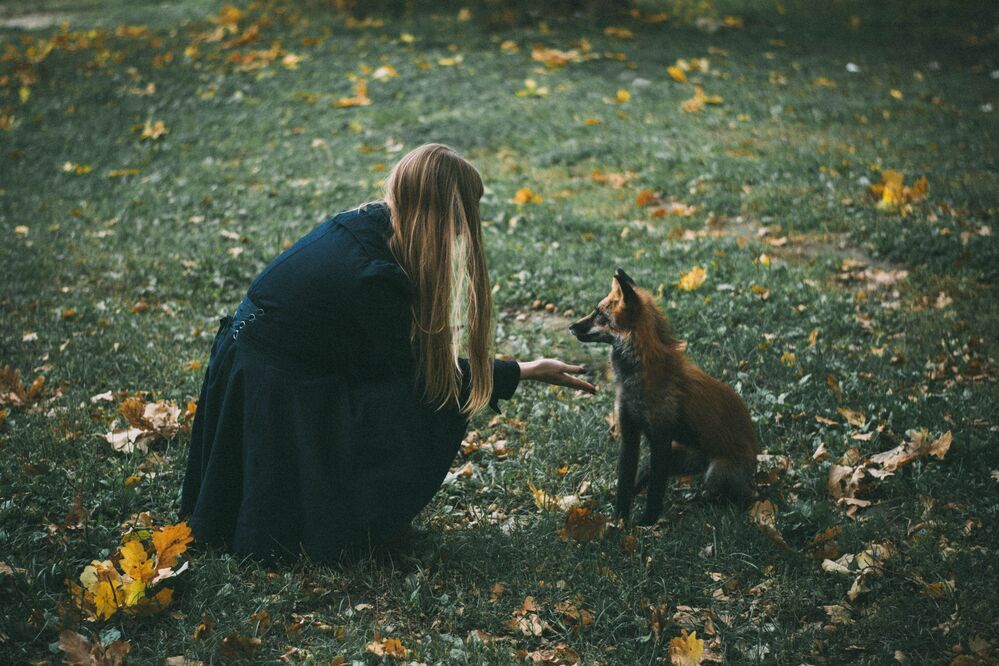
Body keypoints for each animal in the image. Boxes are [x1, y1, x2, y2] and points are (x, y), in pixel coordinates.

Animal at [569, 268, 758, 525]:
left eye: (599, 313)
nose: (570, 326)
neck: (635, 379)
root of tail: (755, 459)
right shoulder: (630, 431)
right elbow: (625, 483)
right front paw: (619, 521)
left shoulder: (660, 435)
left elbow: (656, 492)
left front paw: (647, 522)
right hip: (674, 458)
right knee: (644, 476)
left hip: (715, 472)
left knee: (733, 498)